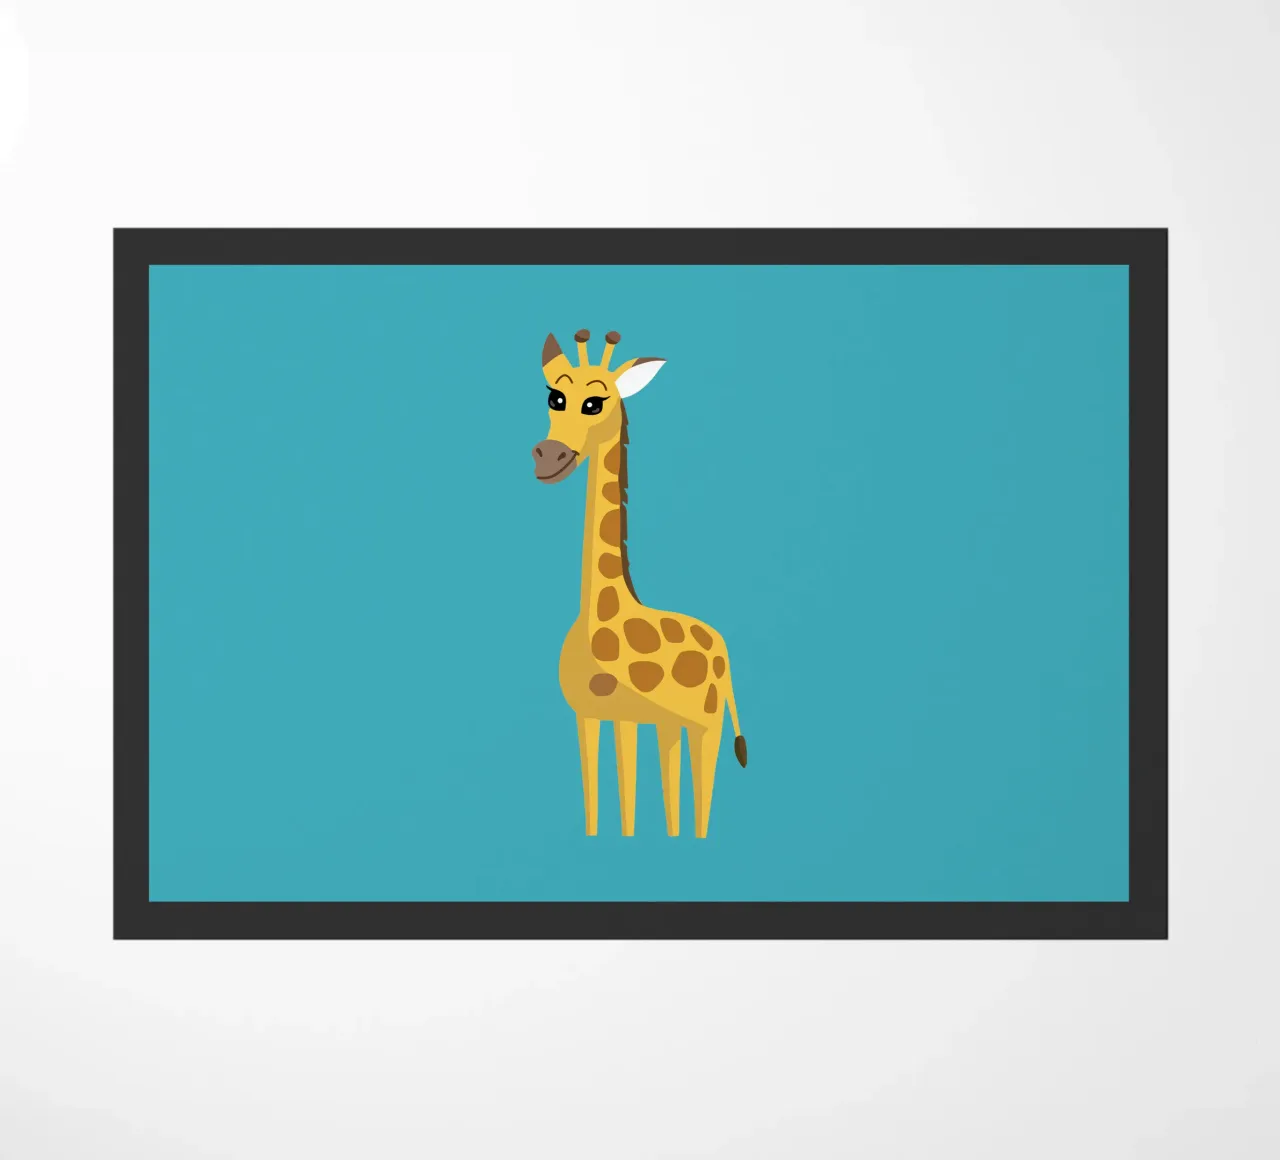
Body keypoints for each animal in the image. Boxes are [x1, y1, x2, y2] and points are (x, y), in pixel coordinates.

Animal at [531, 328, 748, 839]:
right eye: (554, 397)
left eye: (595, 402)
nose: (549, 457)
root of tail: (724, 650)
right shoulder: (599, 715)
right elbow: (606, 801)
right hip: (672, 725)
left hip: (707, 722)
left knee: (702, 792)